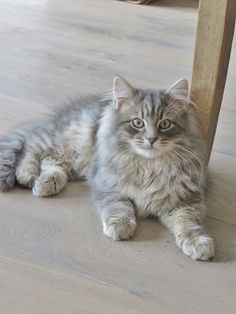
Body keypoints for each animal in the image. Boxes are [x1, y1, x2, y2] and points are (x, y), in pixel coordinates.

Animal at [0, 75, 214, 260]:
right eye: (138, 123)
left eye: (165, 124)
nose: (151, 139)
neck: (149, 166)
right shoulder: (107, 184)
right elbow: (120, 205)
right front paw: (121, 226)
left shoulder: (186, 201)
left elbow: (189, 224)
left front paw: (199, 243)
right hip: (66, 140)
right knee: (31, 145)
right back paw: (27, 174)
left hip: (74, 160)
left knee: (50, 160)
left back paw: (47, 182)